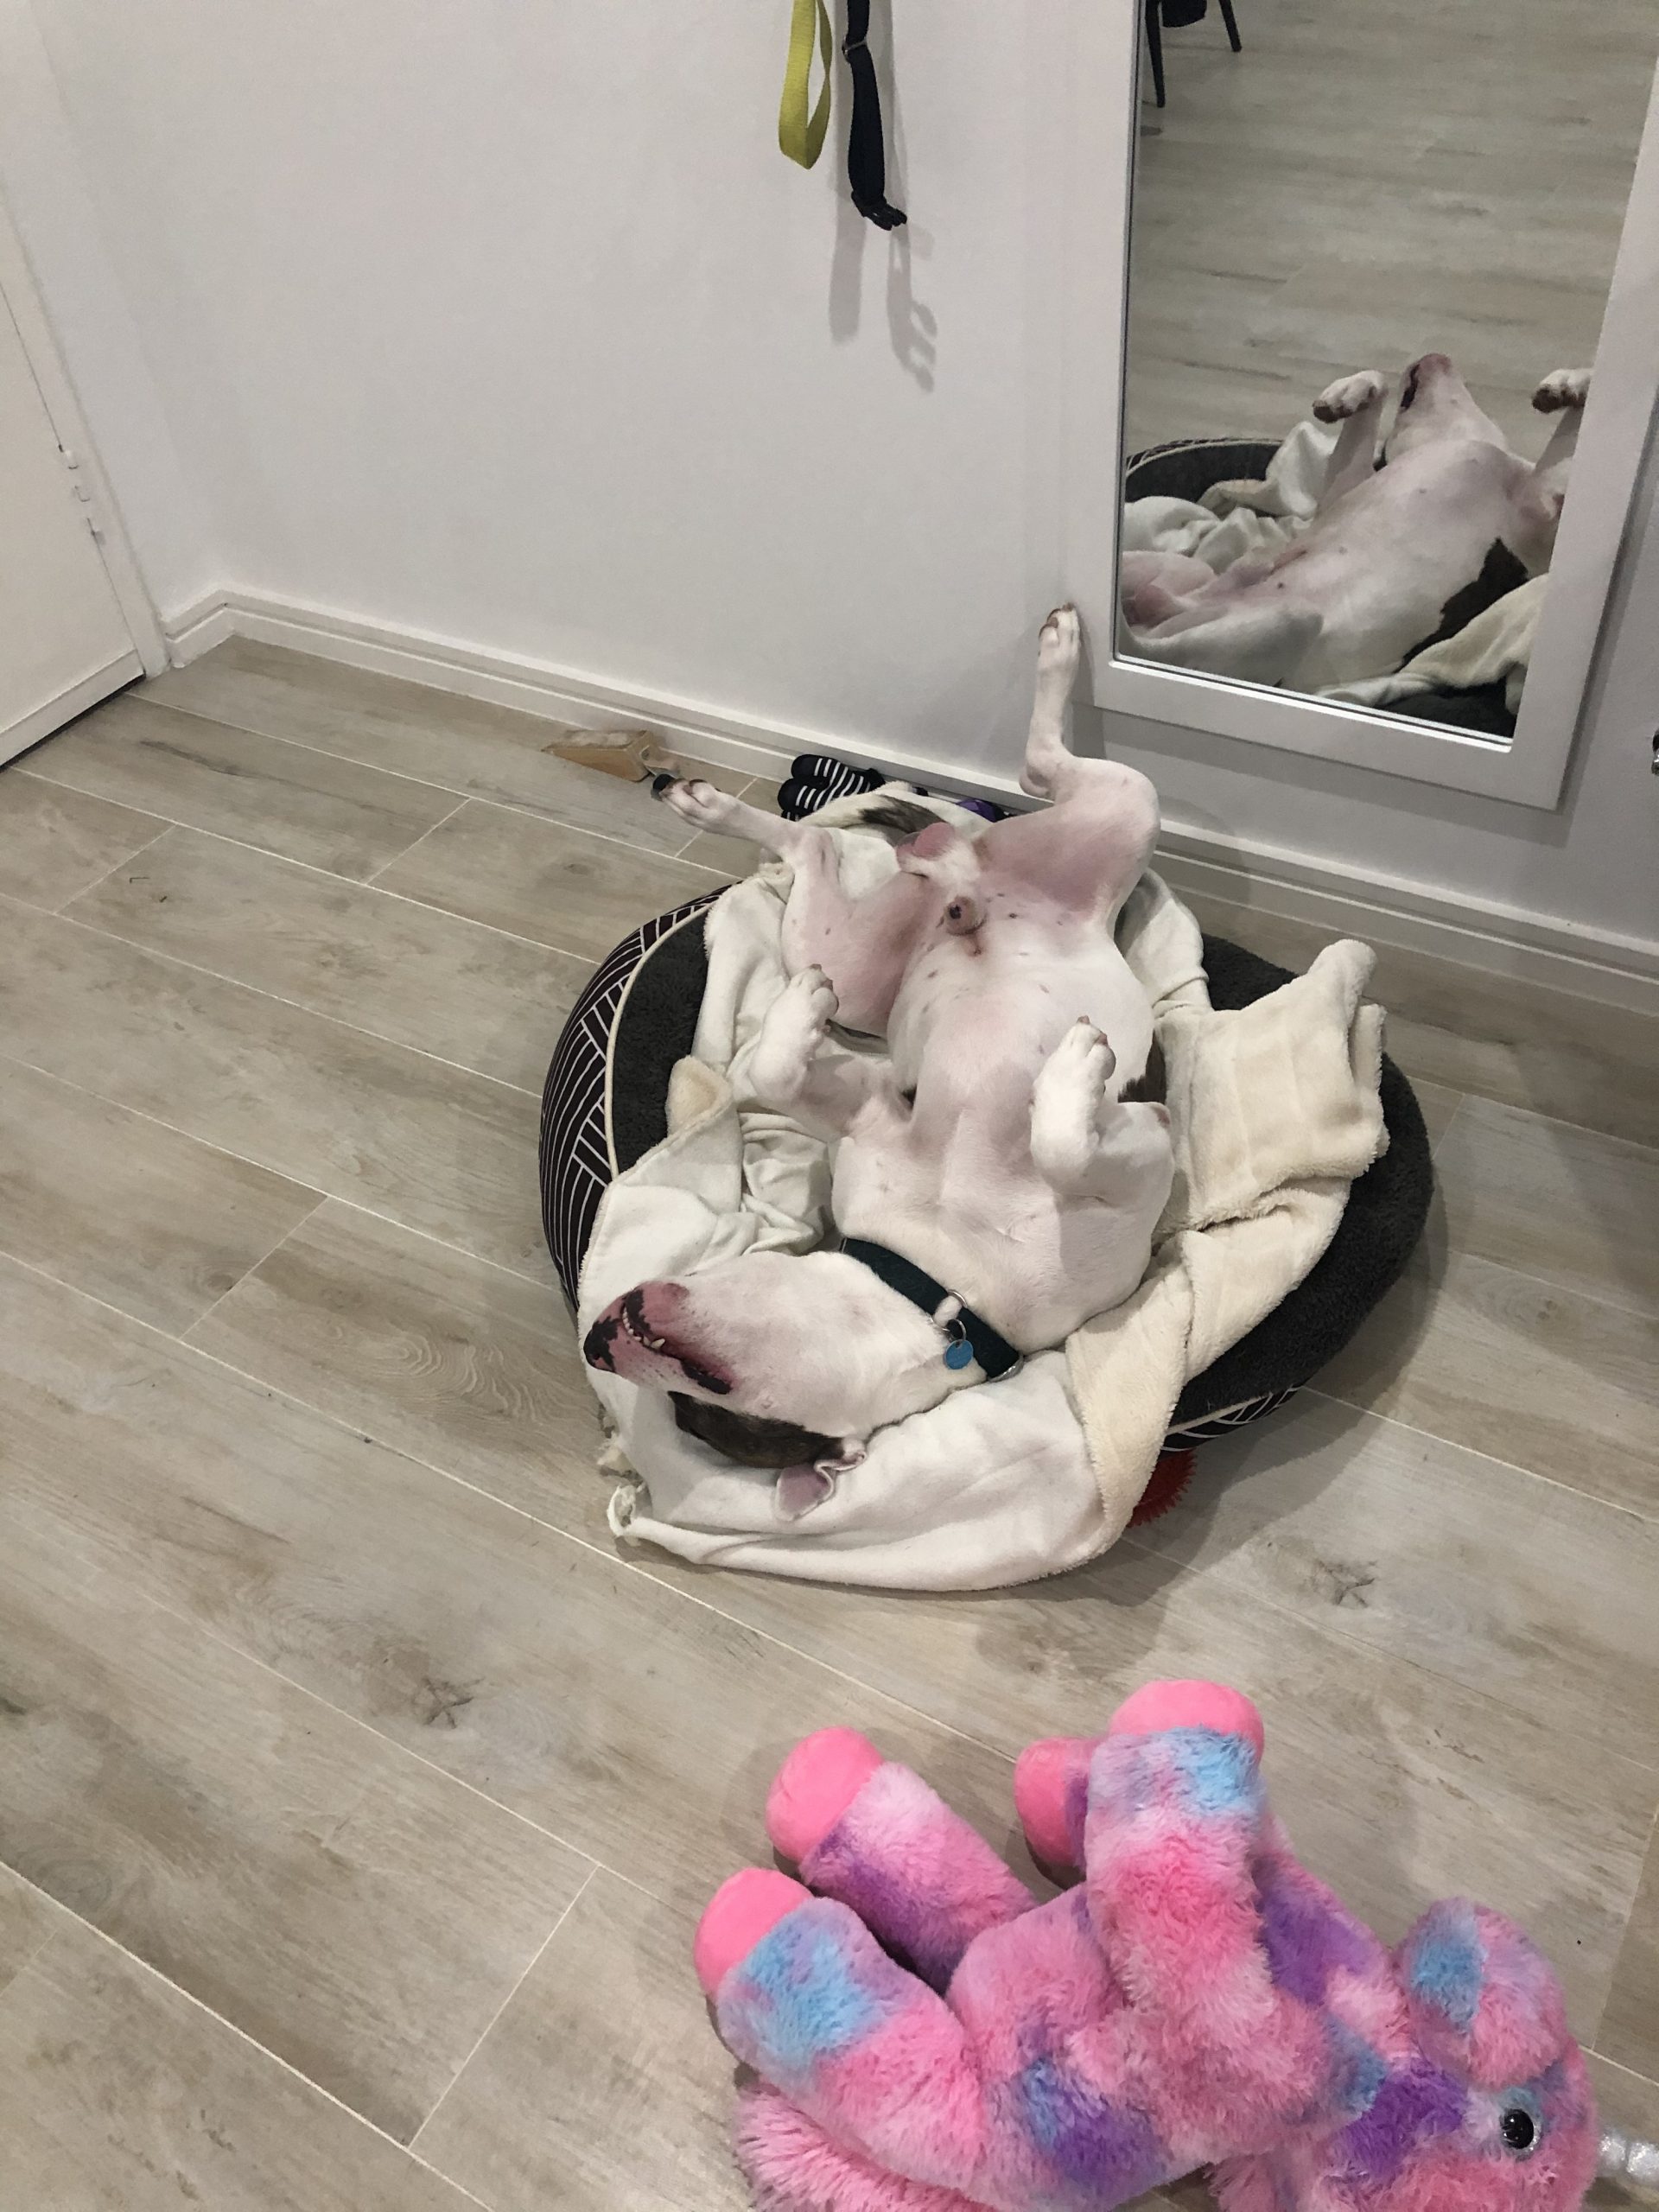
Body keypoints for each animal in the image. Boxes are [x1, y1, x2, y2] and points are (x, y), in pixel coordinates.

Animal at [582, 609, 1174, 1492]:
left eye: (700, 1402)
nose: (597, 1340)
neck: (940, 1290)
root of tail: (968, 868)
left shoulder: (1144, 1155)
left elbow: (1062, 1149)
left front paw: (1075, 1071)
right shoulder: (873, 1117)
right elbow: (773, 1070)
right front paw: (800, 1012)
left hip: (1123, 809)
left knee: (1033, 771)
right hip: (859, 964)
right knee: (817, 850)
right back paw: (718, 809)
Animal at [1121, 354, 1590, 691]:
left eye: (1470, 398)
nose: (1439, 355)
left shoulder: (1542, 515)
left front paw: (1571, 384)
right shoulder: (1342, 490)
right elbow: (1376, 385)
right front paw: (1348, 392)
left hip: (1288, 618)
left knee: (1150, 638)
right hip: (1188, 574)